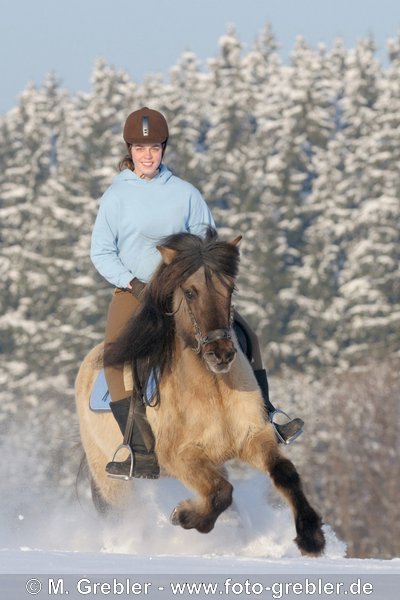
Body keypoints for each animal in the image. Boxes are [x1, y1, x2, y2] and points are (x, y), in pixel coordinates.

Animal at [75, 227, 324, 556]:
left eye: (230, 288)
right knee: (124, 515)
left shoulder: (254, 438)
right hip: (111, 479)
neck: (212, 389)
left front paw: (311, 536)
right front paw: (184, 516)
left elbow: (285, 473)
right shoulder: (181, 457)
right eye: (190, 292)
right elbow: (220, 492)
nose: (221, 353)